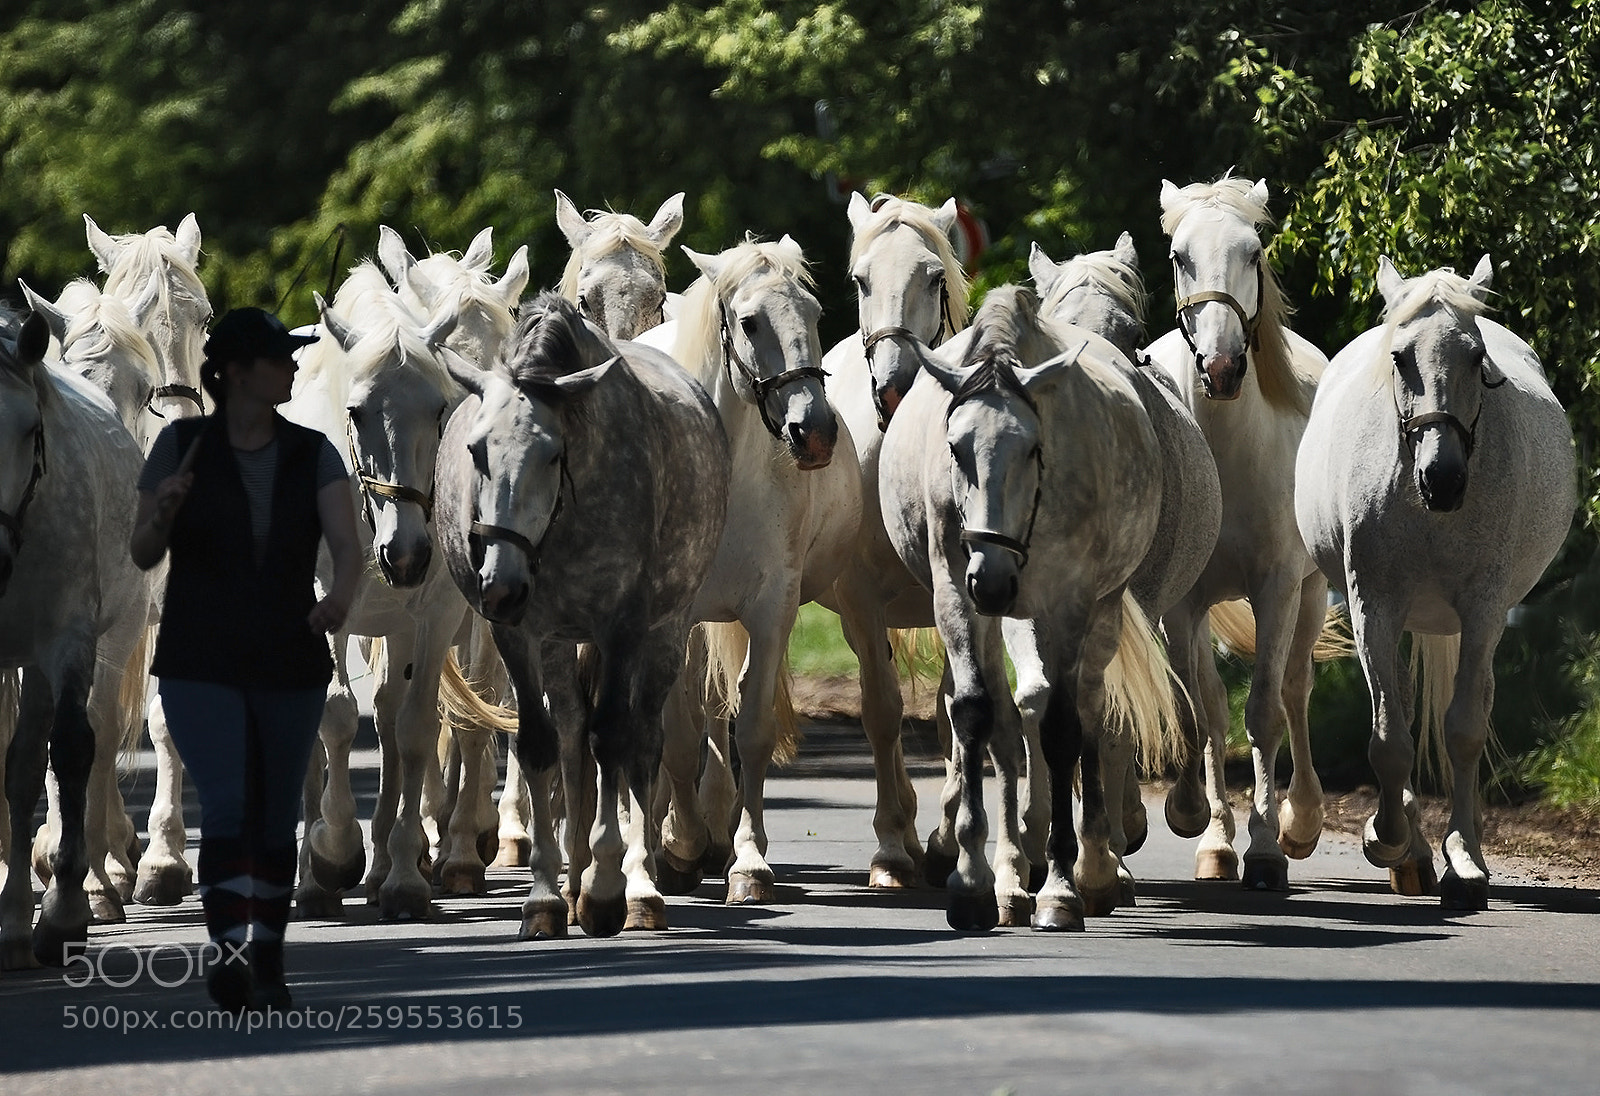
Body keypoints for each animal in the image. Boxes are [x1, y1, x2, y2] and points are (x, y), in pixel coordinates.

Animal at [435, 291, 728, 937]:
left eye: (552, 454)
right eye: (477, 450)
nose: (501, 584)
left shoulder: (622, 629)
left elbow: (614, 737)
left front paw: (608, 887)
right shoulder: (519, 634)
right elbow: (542, 744)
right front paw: (546, 895)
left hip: (665, 631)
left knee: (641, 740)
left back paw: (638, 888)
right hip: (554, 639)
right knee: (571, 732)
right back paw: (571, 883)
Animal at [639, 236, 862, 905]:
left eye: (814, 313)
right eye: (749, 321)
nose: (814, 433)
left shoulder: (769, 608)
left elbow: (751, 729)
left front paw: (748, 859)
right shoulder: (673, 617)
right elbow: (677, 737)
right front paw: (682, 844)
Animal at [879, 286, 1182, 930]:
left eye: (1034, 449)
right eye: (954, 448)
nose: (993, 578)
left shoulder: (1068, 601)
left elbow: (1065, 729)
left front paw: (1063, 887)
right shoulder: (955, 593)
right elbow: (976, 714)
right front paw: (973, 880)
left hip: (1098, 610)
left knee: (1087, 709)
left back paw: (1092, 867)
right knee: (1008, 718)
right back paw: (1013, 874)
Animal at [1141, 175, 1337, 891]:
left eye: (1254, 252)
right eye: (1179, 256)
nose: (1222, 368)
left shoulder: (1277, 587)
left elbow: (1265, 712)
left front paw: (1267, 847)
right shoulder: (1180, 603)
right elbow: (1205, 712)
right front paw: (1208, 832)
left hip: (1312, 594)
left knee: (1296, 690)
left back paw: (1300, 821)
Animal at [1295, 256, 1574, 908]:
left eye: (1477, 358)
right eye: (1400, 357)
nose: (1442, 478)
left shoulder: (1484, 611)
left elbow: (1465, 729)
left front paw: (1466, 861)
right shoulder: (1373, 606)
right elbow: (1390, 738)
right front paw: (1389, 839)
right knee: (1394, 703)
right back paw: (1413, 851)